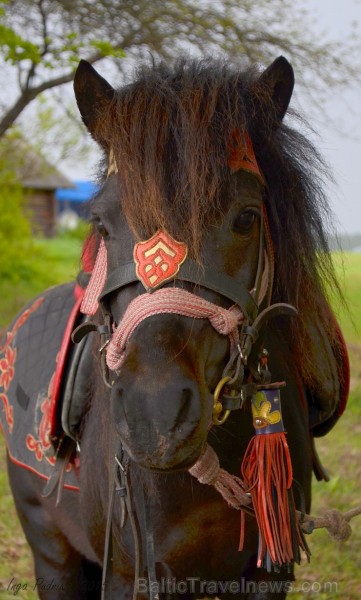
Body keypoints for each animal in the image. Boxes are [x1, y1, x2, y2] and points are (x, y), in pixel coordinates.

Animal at [1, 54, 348, 596]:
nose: (155, 416)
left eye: (247, 217)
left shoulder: (270, 574)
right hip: (52, 556)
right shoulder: (133, 577)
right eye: (101, 224)